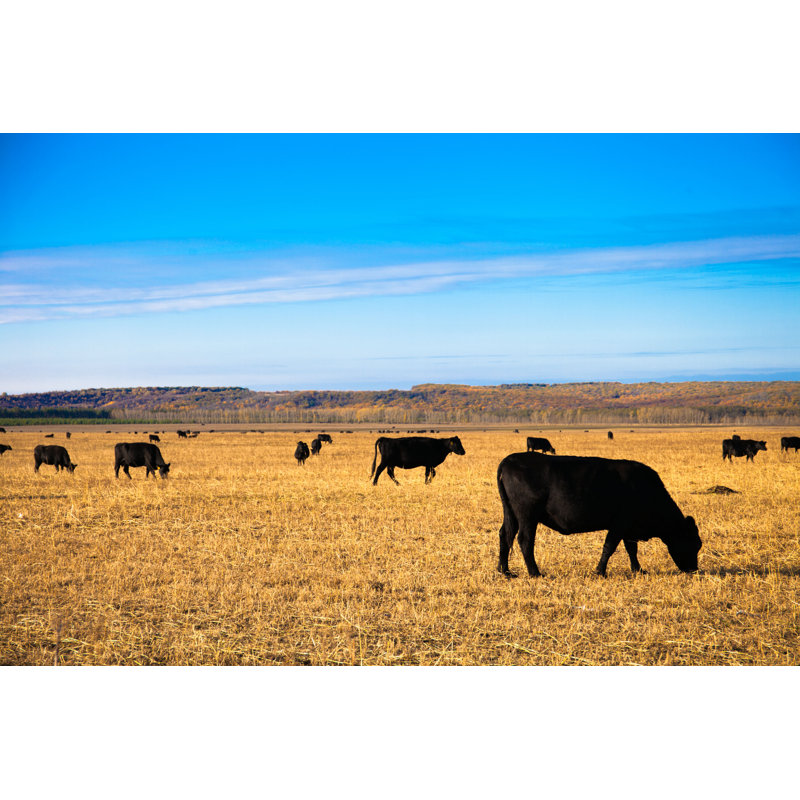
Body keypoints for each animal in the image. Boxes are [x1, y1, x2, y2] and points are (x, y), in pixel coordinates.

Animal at [496, 452, 701, 578]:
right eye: (693, 543)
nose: (694, 569)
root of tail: (509, 460)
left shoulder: (628, 528)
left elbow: (631, 549)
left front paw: (638, 570)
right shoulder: (620, 524)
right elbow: (609, 547)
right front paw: (600, 571)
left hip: (511, 514)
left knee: (505, 536)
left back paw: (505, 571)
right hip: (527, 516)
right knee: (525, 540)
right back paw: (535, 573)